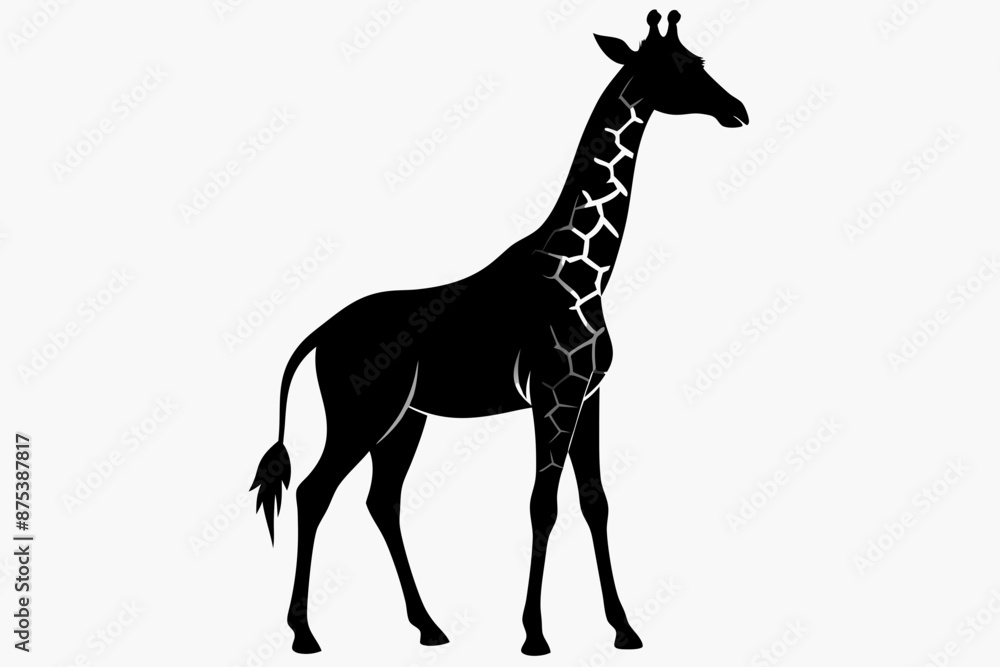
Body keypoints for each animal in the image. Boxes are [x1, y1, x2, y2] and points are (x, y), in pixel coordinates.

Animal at [250, 9, 747, 656]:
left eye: (698, 61)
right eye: (677, 69)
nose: (738, 109)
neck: (587, 272)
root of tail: (318, 334)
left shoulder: (588, 394)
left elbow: (595, 502)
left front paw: (624, 628)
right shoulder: (554, 394)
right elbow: (543, 505)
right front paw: (535, 635)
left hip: (405, 420)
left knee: (381, 501)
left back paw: (429, 627)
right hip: (363, 414)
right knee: (314, 493)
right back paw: (306, 634)